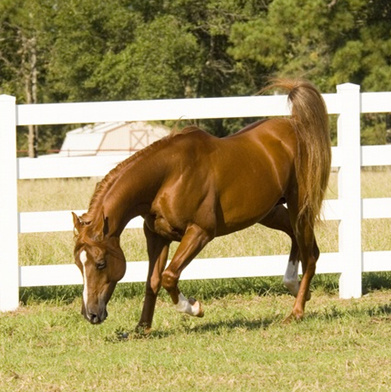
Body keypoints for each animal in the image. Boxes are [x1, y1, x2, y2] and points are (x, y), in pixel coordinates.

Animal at [72, 79, 330, 330]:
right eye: (78, 263)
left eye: (101, 263)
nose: (90, 314)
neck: (169, 176)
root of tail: (297, 127)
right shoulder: (157, 236)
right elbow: (152, 281)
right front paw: (142, 328)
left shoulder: (200, 232)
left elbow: (169, 276)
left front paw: (194, 308)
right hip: (271, 211)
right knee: (302, 243)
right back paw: (295, 287)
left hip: (300, 207)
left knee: (310, 256)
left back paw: (296, 312)